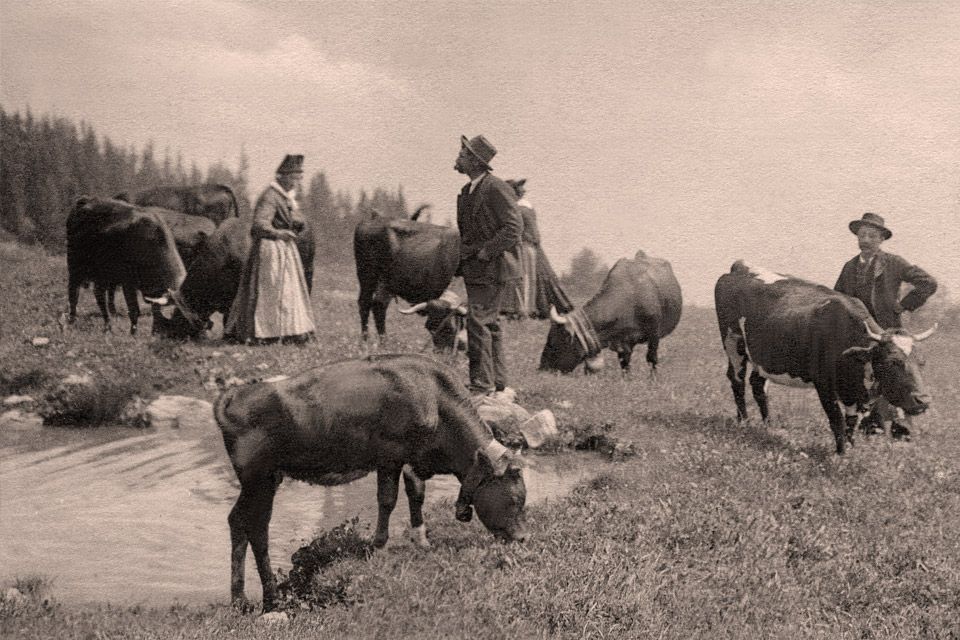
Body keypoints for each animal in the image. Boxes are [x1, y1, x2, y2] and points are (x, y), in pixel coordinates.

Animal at [66, 196, 186, 334]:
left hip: (102, 274)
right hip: (74, 264)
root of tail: (84, 200)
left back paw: (108, 326)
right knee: (74, 293)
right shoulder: (128, 282)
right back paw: (71, 321)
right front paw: (133, 333)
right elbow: (134, 310)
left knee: (99, 295)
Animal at [214, 353, 527, 611]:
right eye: (515, 499)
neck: (436, 399)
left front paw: (421, 539)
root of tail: (235, 394)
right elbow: (387, 500)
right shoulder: (390, 456)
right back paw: (271, 598)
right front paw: (379, 546)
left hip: (257, 482)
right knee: (257, 528)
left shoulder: (412, 460)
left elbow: (416, 494)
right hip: (261, 479)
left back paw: (239, 599)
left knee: (236, 520)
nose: (523, 538)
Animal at [354, 207, 461, 344]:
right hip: (370, 277)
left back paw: (379, 342)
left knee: (375, 305)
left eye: (450, 329)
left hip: (382, 282)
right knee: (368, 304)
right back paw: (369, 341)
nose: (444, 348)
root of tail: (373, 219)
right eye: (431, 327)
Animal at [539, 250, 683, 374]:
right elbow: (625, 364)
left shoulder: (654, 334)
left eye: (553, 342)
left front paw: (653, 381)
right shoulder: (623, 342)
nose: (542, 369)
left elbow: (652, 359)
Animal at [714, 260, 935, 454]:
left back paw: (768, 426)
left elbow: (851, 423)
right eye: (892, 362)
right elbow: (837, 420)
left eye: (922, 363)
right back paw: (743, 422)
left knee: (758, 385)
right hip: (733, 342)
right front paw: (840, 454)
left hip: (764, 357)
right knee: (737, 381)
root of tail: (740, 266)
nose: (923, 400)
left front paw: (851, 450)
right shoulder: (824, 385)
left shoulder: (855, 393)